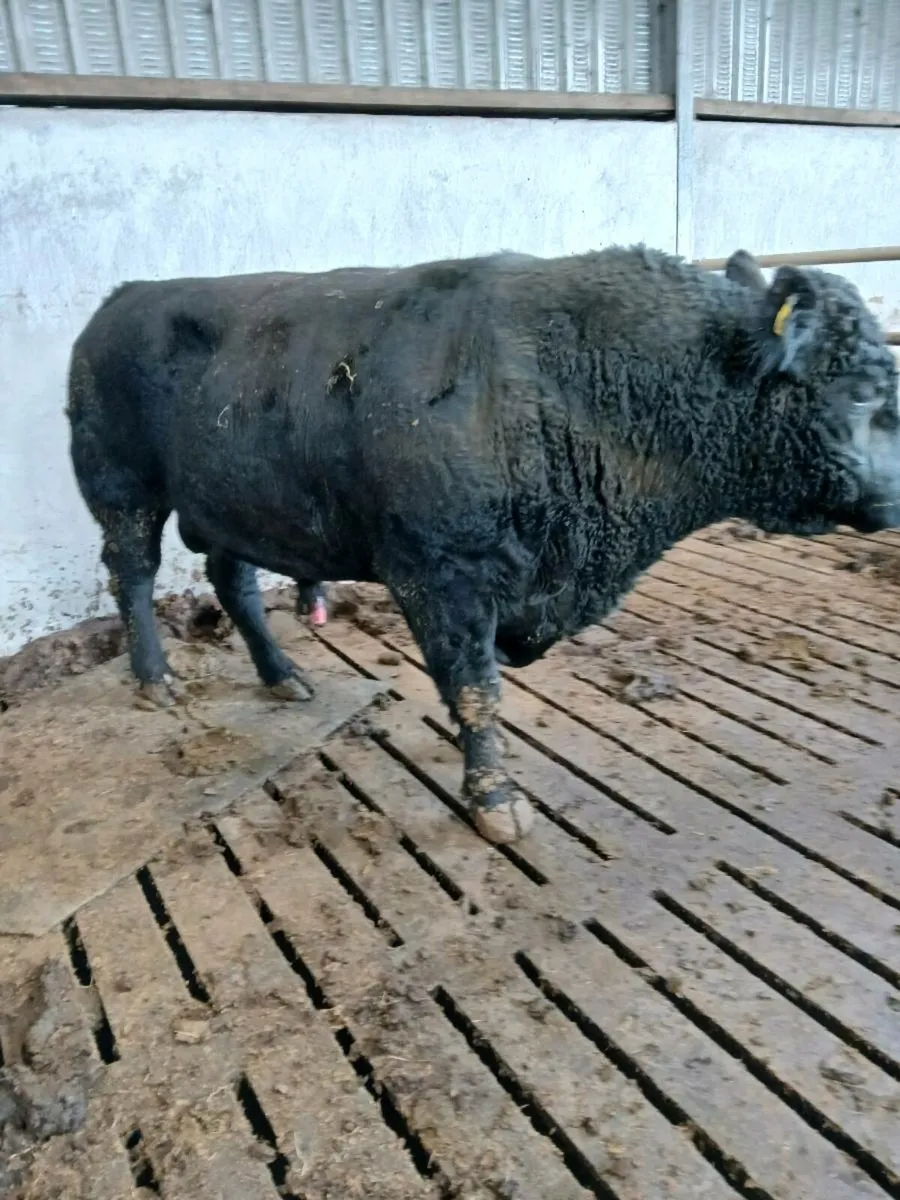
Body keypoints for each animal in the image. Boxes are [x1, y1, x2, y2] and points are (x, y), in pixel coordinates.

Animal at [66, 246, 900, 845]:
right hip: (124, 491)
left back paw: (283, 677)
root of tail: (122, 297)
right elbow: (476, 687)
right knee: (133, 576)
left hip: (231, 505)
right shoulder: (443, 578)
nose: (894, 494)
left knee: (231, 580)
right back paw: (156, 680)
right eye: (862, 390)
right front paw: (494, 799)